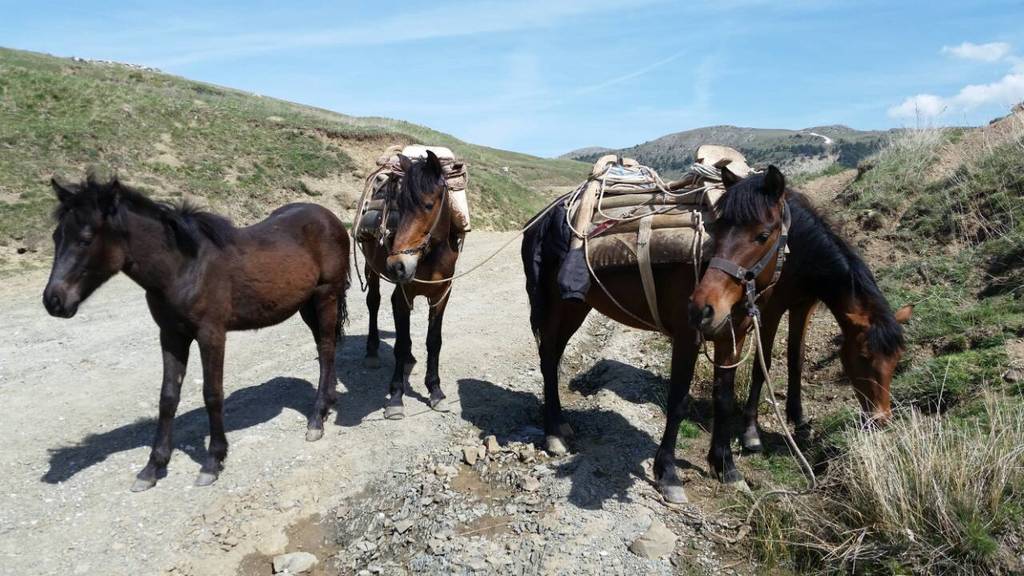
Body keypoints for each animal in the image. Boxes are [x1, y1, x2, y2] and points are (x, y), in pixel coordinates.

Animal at [43, 170, 352, 487]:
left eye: (86, 239)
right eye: (56, 237)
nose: (54, 301)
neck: (183, 268)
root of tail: (329, 217)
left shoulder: (211, 334)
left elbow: (212, 393)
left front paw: (212, 461)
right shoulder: (171, 335)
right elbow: (168, 397)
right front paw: (153, 467)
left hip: (325, 296)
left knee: (326, 348)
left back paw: (316, 419)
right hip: (306, 304)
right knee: (324, 348)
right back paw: (328, 402)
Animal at [356, 150, 460, 420]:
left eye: (429, 205)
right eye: (398, 207)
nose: (397, 266)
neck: (430, 258)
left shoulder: (441, 296)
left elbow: (434, 342)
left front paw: (436, 391)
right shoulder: (401, 297)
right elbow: (400, 344)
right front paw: (395, 397)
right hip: (371, 269)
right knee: (373, 303)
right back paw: (371, 352)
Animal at [688, 168, 913, 450]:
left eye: (896, 359)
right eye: (863, 356)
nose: (880, 419)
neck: (796, 252)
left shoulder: (803, 307)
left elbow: (797, 359)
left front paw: (799, 418)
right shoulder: (770, 310)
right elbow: (763, 365)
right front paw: (751, 430)